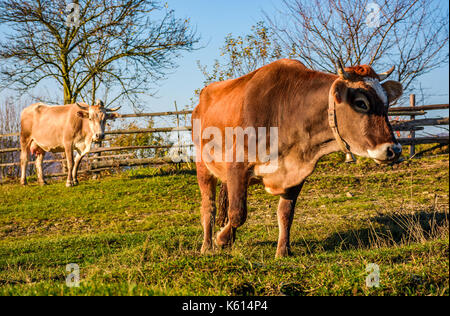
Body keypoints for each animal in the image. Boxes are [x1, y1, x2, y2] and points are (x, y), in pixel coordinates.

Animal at [192, 58, 402, 256]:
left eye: (386, 104)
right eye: (361, 103)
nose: (394, 150)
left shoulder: (296, 172)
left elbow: (286, 213)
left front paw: (283, 251)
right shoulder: (238, 165)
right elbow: (237, 214)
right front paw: (222, 238)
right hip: (203, 165)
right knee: (209, 207)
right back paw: (207, 245)